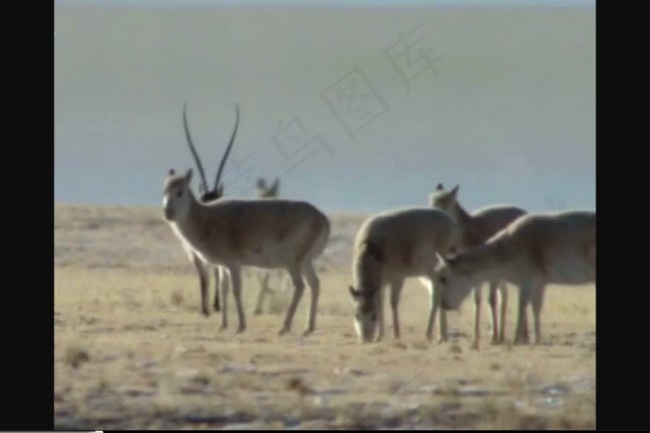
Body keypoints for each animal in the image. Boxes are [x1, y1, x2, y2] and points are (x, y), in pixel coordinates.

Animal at [346, 208, 458, 342]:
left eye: (373, 316)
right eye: (356, 315)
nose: (365, 339)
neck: (372, 249)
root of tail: (450, 221)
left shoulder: (397, 279)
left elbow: (393, 303)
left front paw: (396, 334)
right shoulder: (380, 285)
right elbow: (380, 303)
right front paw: (379, 336)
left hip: (433, 272)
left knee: (435, 298)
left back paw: (429, 334)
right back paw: (442, 336)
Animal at [430, 182, 528, 348]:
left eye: (445, 204)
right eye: (431, 202)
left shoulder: (491, 274)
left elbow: (491, 300)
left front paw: (493, 337)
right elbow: (477, 301)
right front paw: (475, 339)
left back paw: (523, 336)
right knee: (504, 296)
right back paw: (504, 335)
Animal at [432, 209, 596, 344]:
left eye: (443, 278)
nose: (444, 305)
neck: (506, 250)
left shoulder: (527, 281)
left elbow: (521, 306)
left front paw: (517, 340)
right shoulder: (539, 283)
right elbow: (535, 307)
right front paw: (536, 339)